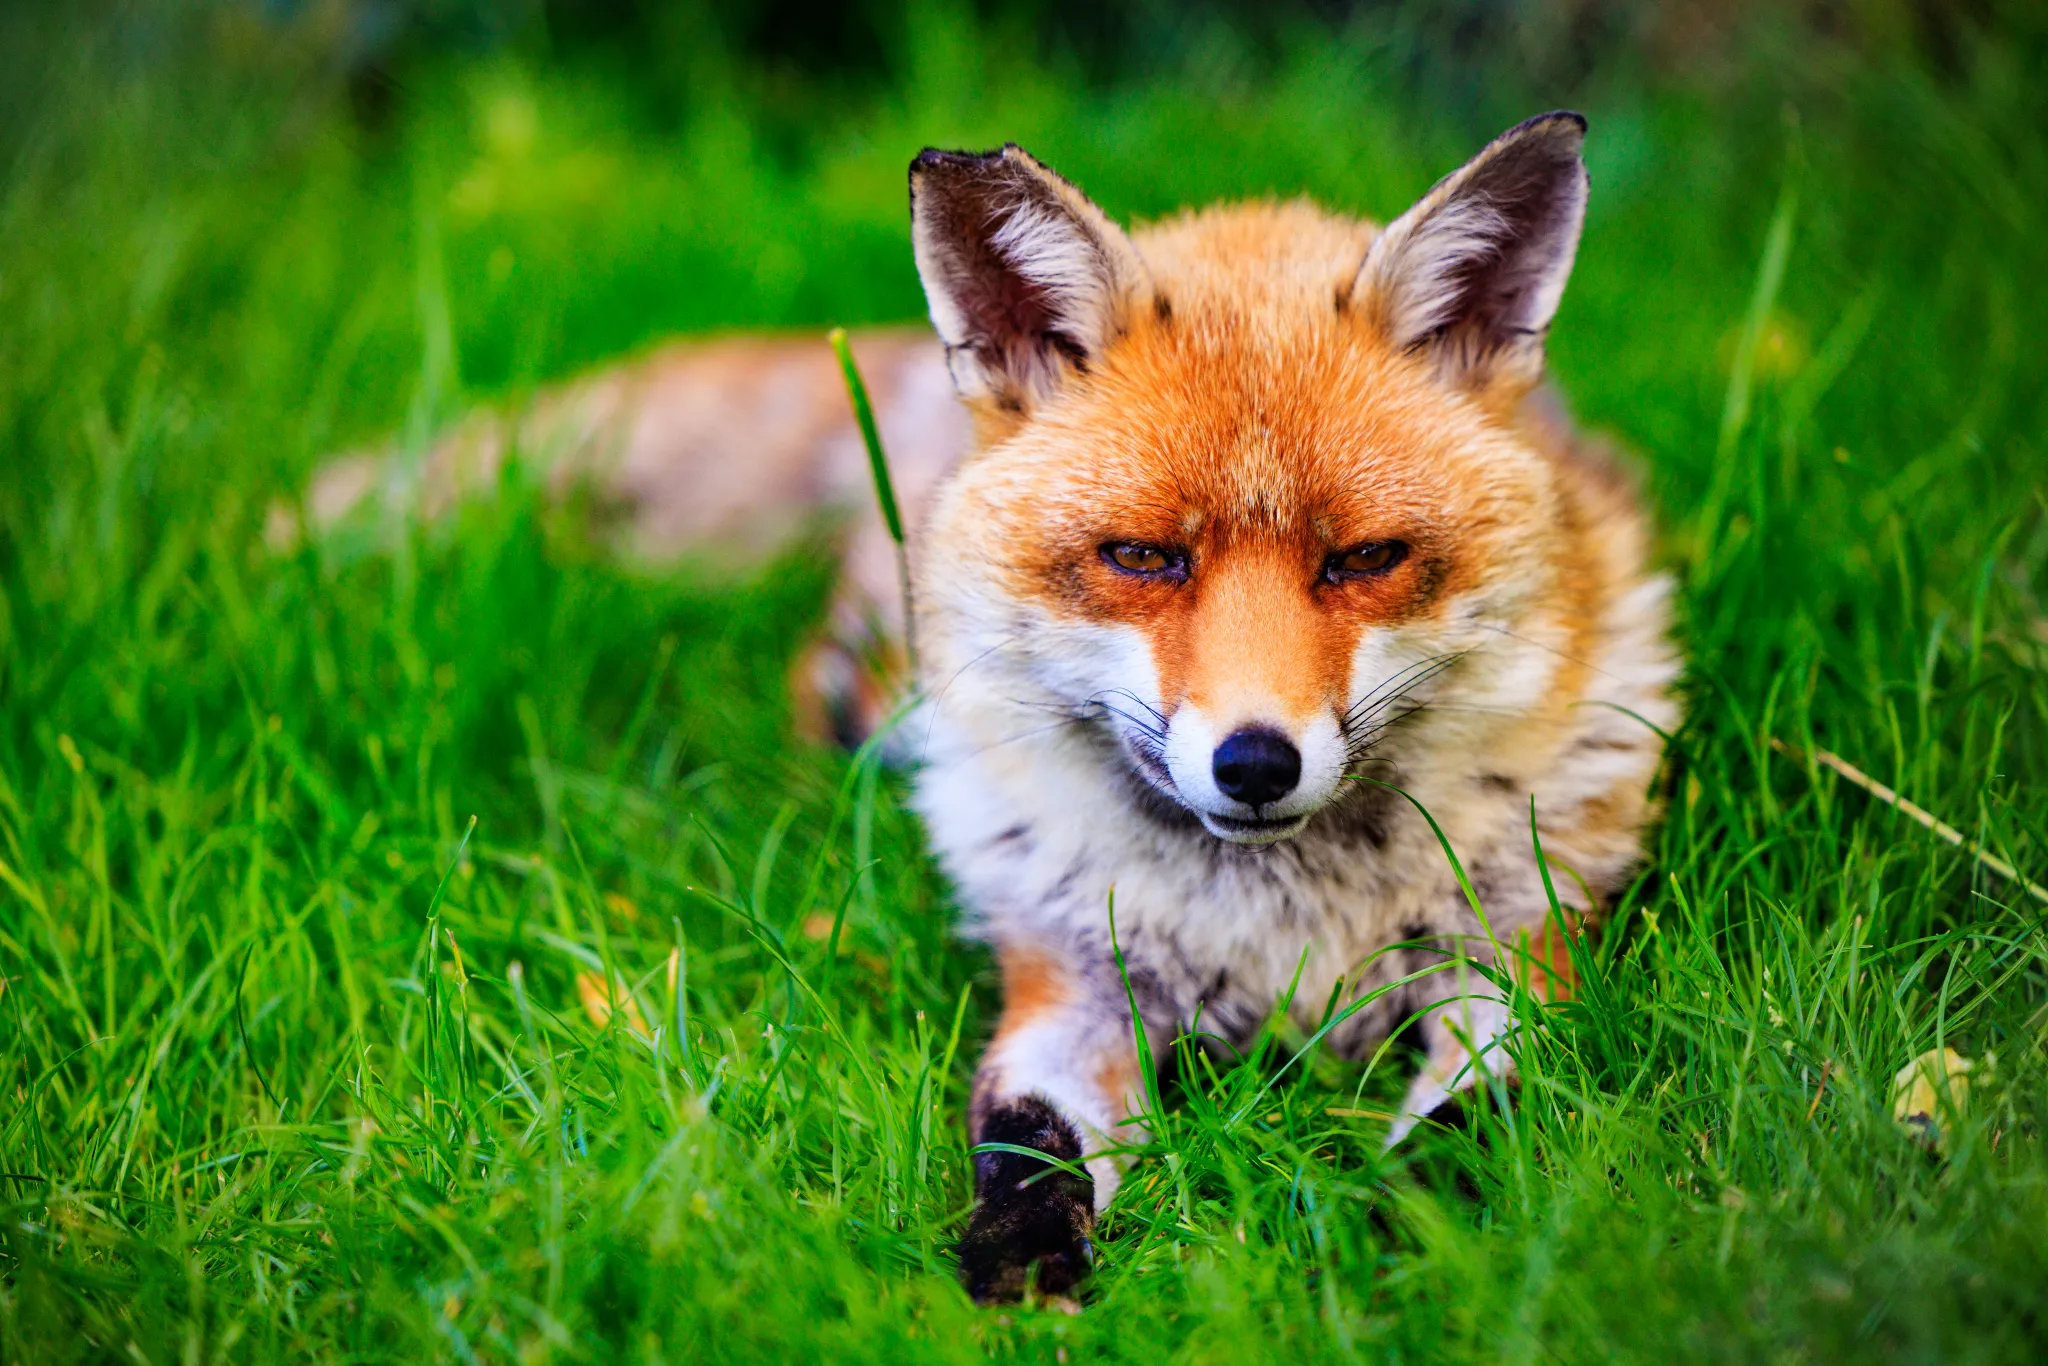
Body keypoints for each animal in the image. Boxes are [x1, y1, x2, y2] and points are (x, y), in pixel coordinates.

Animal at [305, 110, 1679, 1306]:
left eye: (1362, 561)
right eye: (1141, 559)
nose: (1252, 762)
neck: (1273, 926)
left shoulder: (1522, 968)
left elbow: (1462, 1127)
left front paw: (1398, 1244)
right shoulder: (1065, 981)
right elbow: (1025, 1143)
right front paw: (1020, 1271)